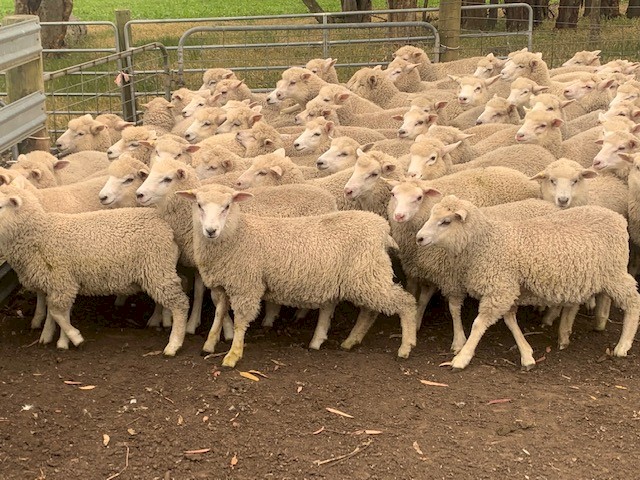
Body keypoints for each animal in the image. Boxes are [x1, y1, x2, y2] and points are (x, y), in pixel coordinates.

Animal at [0, 178, 190, 356]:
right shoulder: (57, 283)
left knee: (180, 304)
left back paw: (174, 344)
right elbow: (56, 313)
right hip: (157, 270)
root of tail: (165, 225)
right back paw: (160, 319)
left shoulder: (63, 282)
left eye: (1, 206)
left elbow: (56, 312)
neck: (39, 234)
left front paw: (74, 338)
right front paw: (52, 337)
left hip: (157, 267)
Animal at [178, 183, 417, 367]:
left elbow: (239, 322)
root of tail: (383, 229)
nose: (210, 230)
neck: (238, 234)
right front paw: (209, 345)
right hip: (366, 278)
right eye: (198, 205)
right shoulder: (224, 284)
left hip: (367, 275)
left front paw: (233, 355)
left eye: (227, 206)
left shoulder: (246, 286)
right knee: (370, 311)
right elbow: (219, 315)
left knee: (405, 303)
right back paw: (350, 341)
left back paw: (406, 346)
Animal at [415, 195, 640, 369]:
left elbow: (479, 324)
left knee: (633, 300)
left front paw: (462, 358)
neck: (486, 241)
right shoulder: (507, 289)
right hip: (583, 276)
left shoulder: (499, 289)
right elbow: (510, 320)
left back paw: (623, 345)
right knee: (576, 304)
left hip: (614, 272)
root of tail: (618, 218)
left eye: (446, 221)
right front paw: (527, 354)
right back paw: (564, 335)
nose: (419, 238)